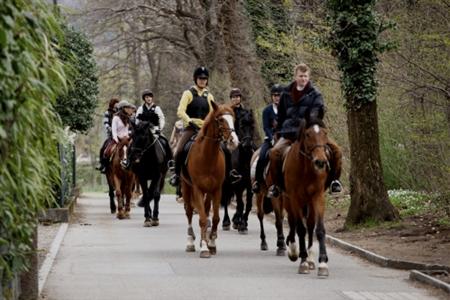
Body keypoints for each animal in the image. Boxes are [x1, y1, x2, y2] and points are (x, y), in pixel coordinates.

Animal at [182, 102, 241, 258]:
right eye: (220, 120)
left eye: (233, 119)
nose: (234, 141)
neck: (207, 157)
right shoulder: (197, 189)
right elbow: (202, 219)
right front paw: (204, 248)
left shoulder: (216, 189)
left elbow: (214, 218)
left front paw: (212, 243)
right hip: (186, 187)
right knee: (189, 211)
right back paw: (190, 242)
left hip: (208, 192)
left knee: (206, 211)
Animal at [284, 115, 340, 276]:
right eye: (308, 134)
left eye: (325, 133)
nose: (320, 162)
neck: (306, 169)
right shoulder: (294, 198)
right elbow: (300, 229)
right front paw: (302, 262)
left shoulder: (318, 196)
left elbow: (319, 229)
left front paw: (322, 263)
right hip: (288, 201)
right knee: (293, 222)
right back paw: (295, 251)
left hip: (309, 202)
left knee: (309, 225)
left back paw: (310, 259)